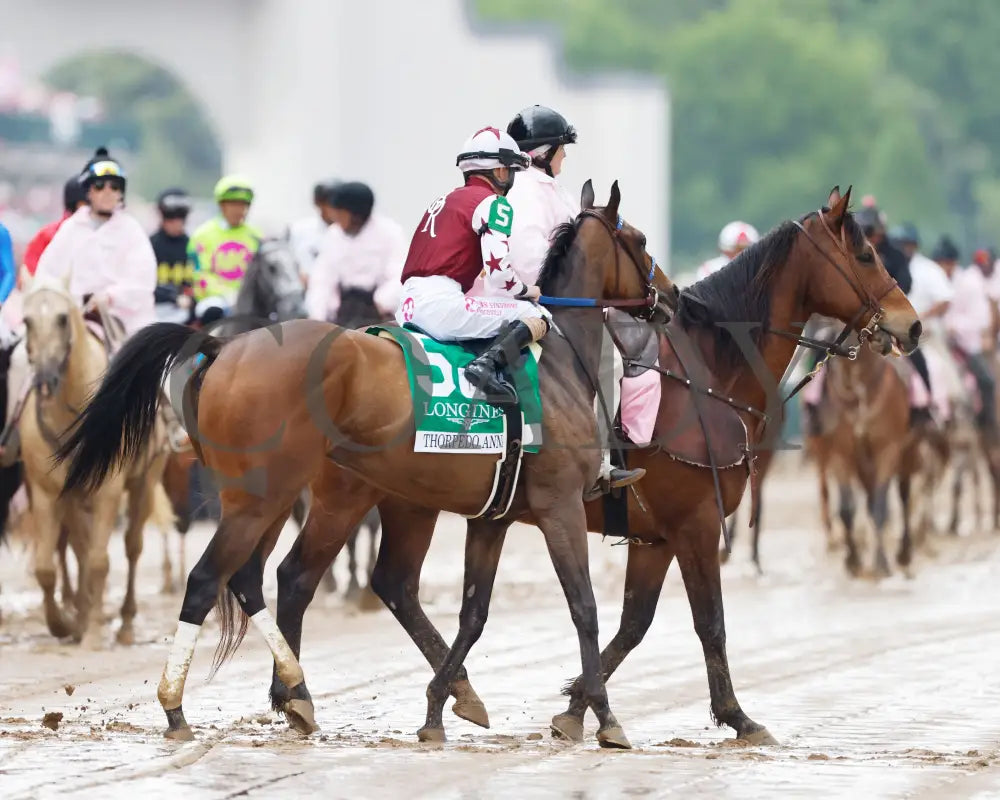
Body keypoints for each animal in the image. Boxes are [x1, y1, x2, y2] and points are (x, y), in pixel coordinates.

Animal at [21, 278, 168, 648]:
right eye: (27, 321)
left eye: (62, 318)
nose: (45, 380)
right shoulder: (47, 493)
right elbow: (48, 567)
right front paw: (64, 623)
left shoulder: (109, 491)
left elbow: (100, 560)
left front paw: (93, 633)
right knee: (78, 547)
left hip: (146, 480)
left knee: (132, 546)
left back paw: (125, 623)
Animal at [258, 186, 920, 744]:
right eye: (865, 253)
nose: (911, 325)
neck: (708, 372)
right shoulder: (692, 524)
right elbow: (702, 621)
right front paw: (734, 716)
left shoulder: (653, 536)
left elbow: (631, 623)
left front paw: (575, 704)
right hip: (354, 498)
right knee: (300, 578)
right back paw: (299, 694)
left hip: (405, 502)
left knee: (378, 583)